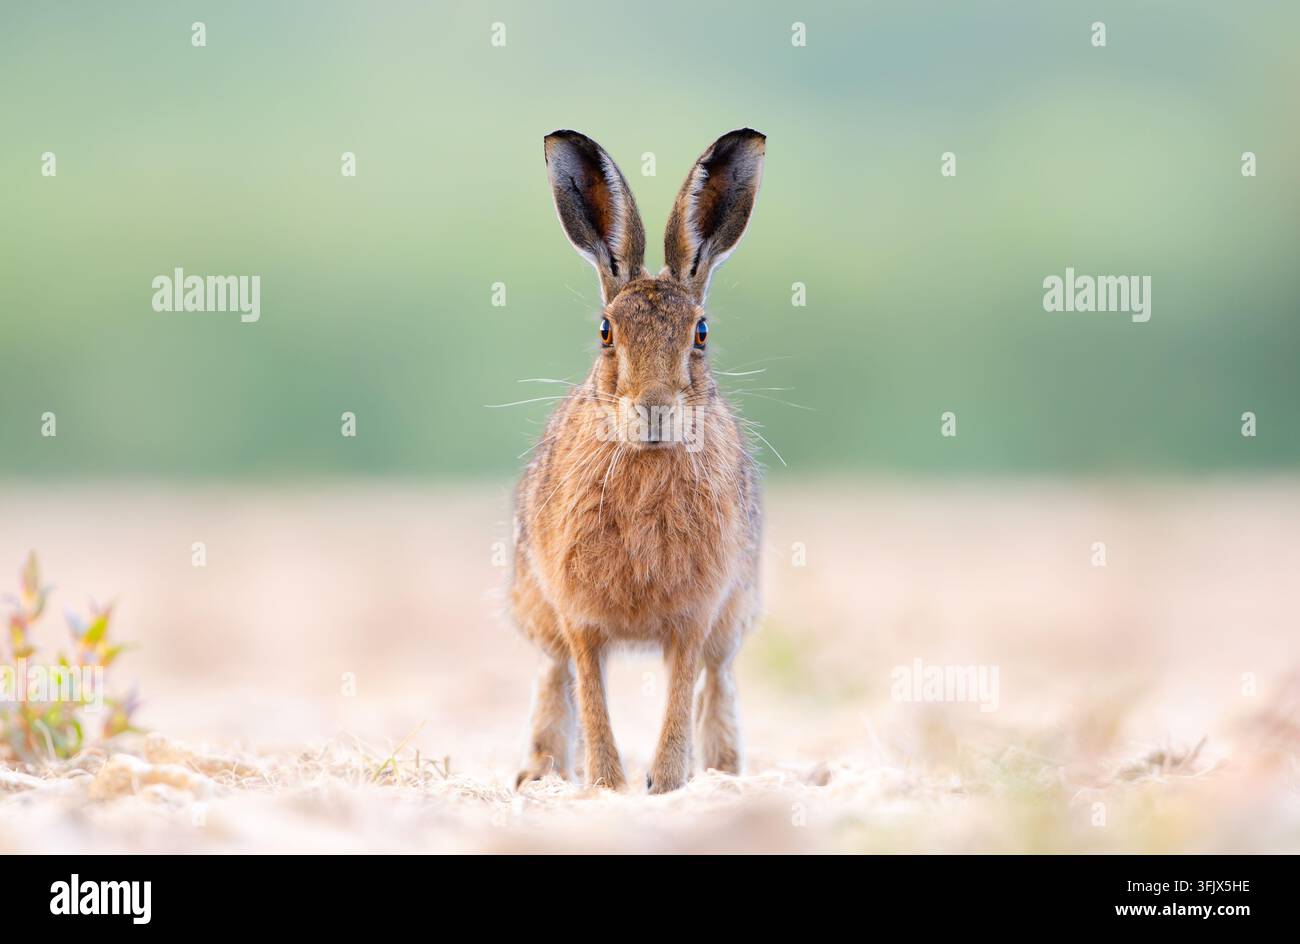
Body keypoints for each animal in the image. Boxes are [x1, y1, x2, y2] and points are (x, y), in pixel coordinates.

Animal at [510, 129, 766, 793]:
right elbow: (591, 696)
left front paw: (669, 784)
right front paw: (606, 785)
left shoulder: (696, 615)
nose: (654, 410)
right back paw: (539, 776)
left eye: (701, 333)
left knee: (718, 684)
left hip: (735, 619)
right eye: (605, 331)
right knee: (554, 681)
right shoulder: (578, 617)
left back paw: (724, 773)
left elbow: (679, 696)